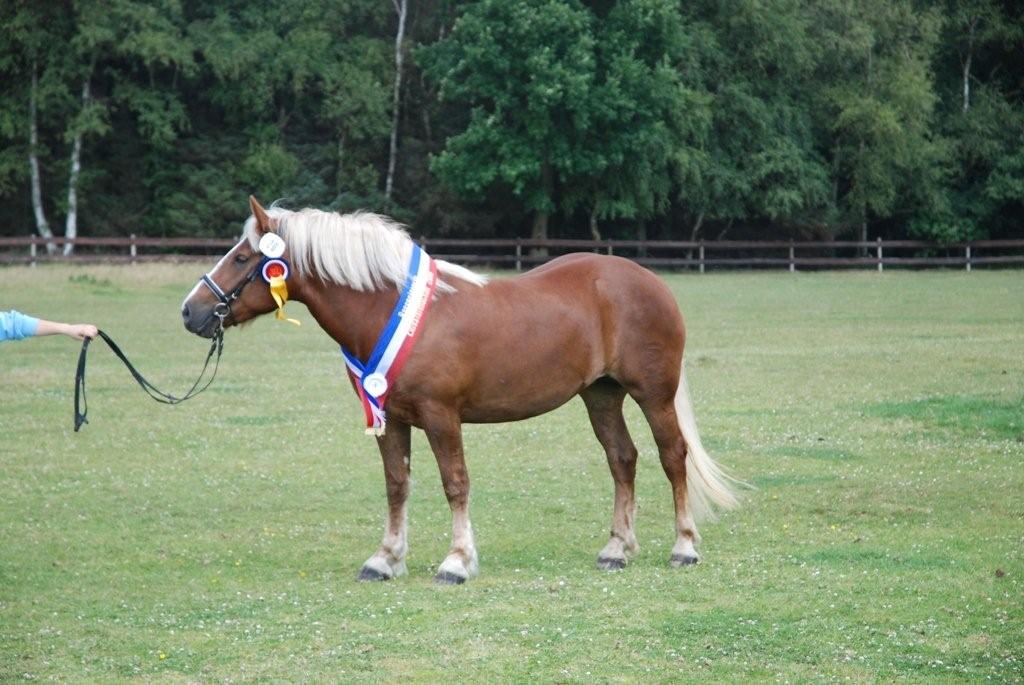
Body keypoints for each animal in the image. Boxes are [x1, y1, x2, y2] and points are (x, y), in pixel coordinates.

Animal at [182, 196, 737, 581]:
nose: (190, 311)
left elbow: (455, 484)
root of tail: (649, 280)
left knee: (673, 456)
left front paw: (457, 561)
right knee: (622, 459)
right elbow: (397, 485)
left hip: (652, 393)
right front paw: (385, 559)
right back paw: (616, 549)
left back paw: (684, 547)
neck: (393, 312)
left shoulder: (441, 416)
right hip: (601, 394)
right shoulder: (392, 418)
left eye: (242, 259)